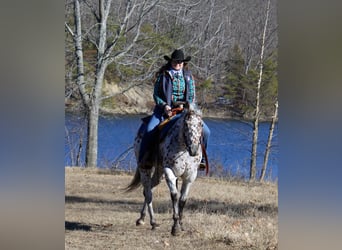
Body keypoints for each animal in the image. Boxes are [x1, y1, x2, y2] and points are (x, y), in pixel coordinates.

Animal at [127, 102, 204, 235]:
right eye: (186, 124)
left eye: (201, 124)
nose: (193, 150)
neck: (182, 148)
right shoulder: (169, 172)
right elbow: (174, 195)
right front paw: (175, 227)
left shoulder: (190, 176)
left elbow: (183, 199)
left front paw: (181, 225)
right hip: (145, 169)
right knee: (148, 193)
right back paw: (152, 222)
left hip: (159, 173)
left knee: (147, 190)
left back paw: (142, 218)